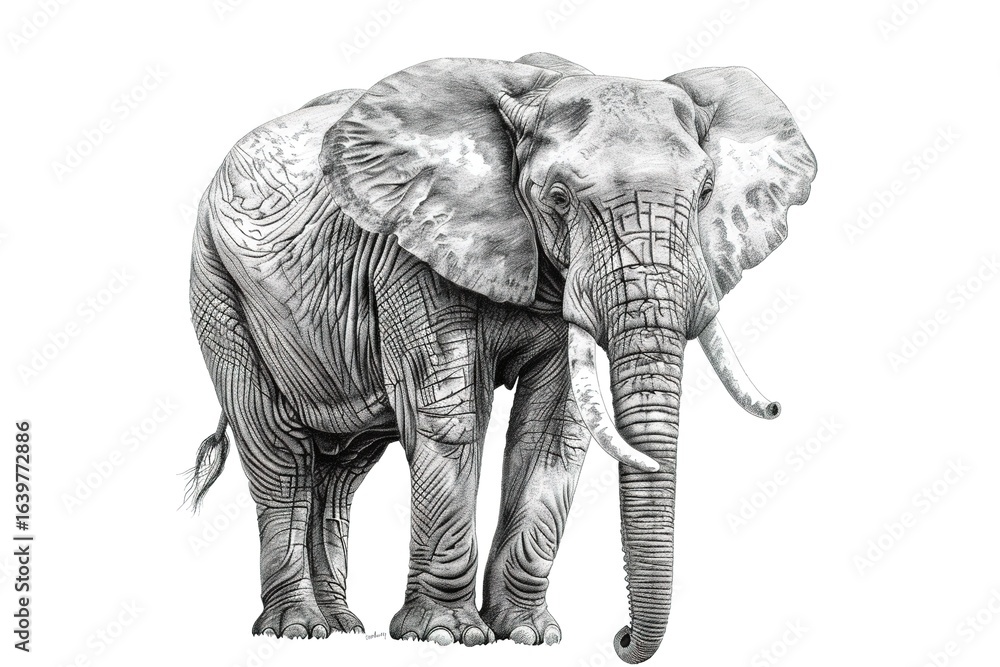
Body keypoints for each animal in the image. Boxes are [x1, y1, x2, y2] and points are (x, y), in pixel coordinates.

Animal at [187, 52, 816, 662]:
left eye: (707, 193)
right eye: (558, 198)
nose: (620, 639)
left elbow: (553, 429)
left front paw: (530, 636)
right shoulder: (412, 251)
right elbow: (450, 417)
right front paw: (445, 637)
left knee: (342, 470)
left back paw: (341, 625)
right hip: (217, 283)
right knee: (279, 449)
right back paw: (297, 630)